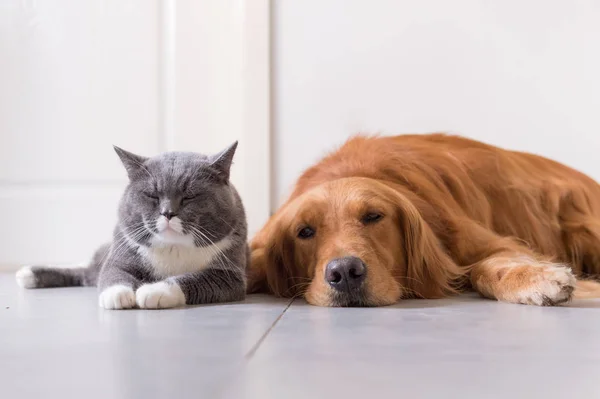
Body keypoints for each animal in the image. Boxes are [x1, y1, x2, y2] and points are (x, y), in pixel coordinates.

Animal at [15, 142, 248, 310]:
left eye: (189, 196)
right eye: (152, 195)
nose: (168, 213)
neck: (173, 247)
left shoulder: (229, 277)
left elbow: (190, 279)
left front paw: (154, 291)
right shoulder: (119, 256)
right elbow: (113, 274)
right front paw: (118, 295)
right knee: (88, 270)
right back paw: (28, 273)